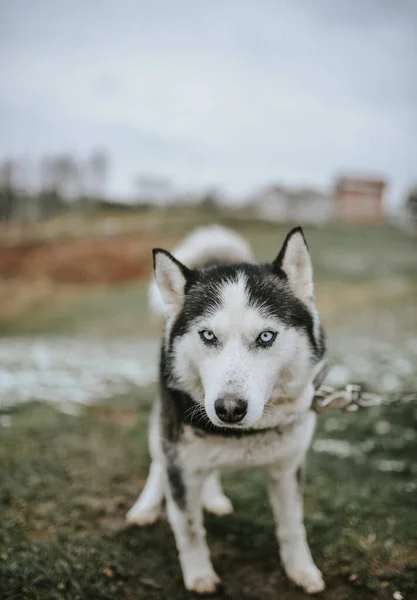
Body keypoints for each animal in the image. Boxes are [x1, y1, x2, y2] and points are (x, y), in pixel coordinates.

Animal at [126, 224, 324, 596]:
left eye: (266, 336)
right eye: (207, 335)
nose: (228, 409)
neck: (243, 435)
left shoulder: (287, 468)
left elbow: (292, 527)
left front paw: (302, 571)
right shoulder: (181, 465)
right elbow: (189, 529)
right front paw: (199, 576)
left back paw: (214, 497)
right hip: (164, 429)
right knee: (158, 462)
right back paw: (145, 507)